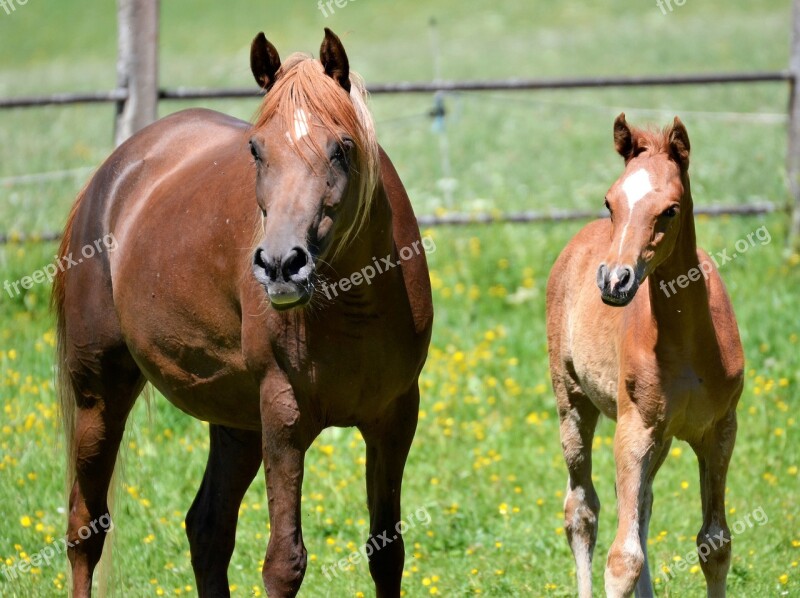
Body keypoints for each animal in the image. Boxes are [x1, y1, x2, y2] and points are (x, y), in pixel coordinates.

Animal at [548, 115, 748, 596]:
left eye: (670, 209)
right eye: (610, 201)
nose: (613, 280)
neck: (690, 343)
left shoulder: (720, 431)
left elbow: (715, 543)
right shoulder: (634, 429)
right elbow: (622, 558)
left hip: (660, 437)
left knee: (641, 508)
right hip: (574, 404)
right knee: (582, 510)